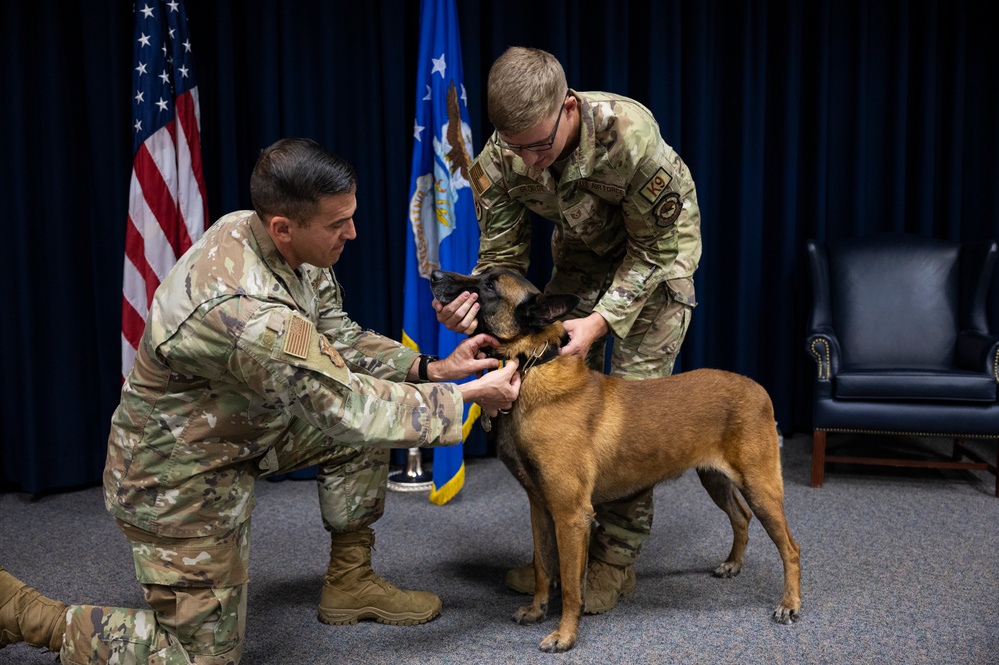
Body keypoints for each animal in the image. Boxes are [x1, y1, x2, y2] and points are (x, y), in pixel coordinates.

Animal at [432, 264, 804, 648]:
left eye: (490, 285)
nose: (433, 275)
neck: (532, 366)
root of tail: (758, 388)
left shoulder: (571, 515)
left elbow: (570, 584)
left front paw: (565, 634)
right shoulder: (540, 507)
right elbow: (542, 567)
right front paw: (537, 610)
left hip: (760, 488)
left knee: (791, 549)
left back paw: (789, 604)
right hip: (716, 479)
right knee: (741, 517)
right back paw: (733, 564)